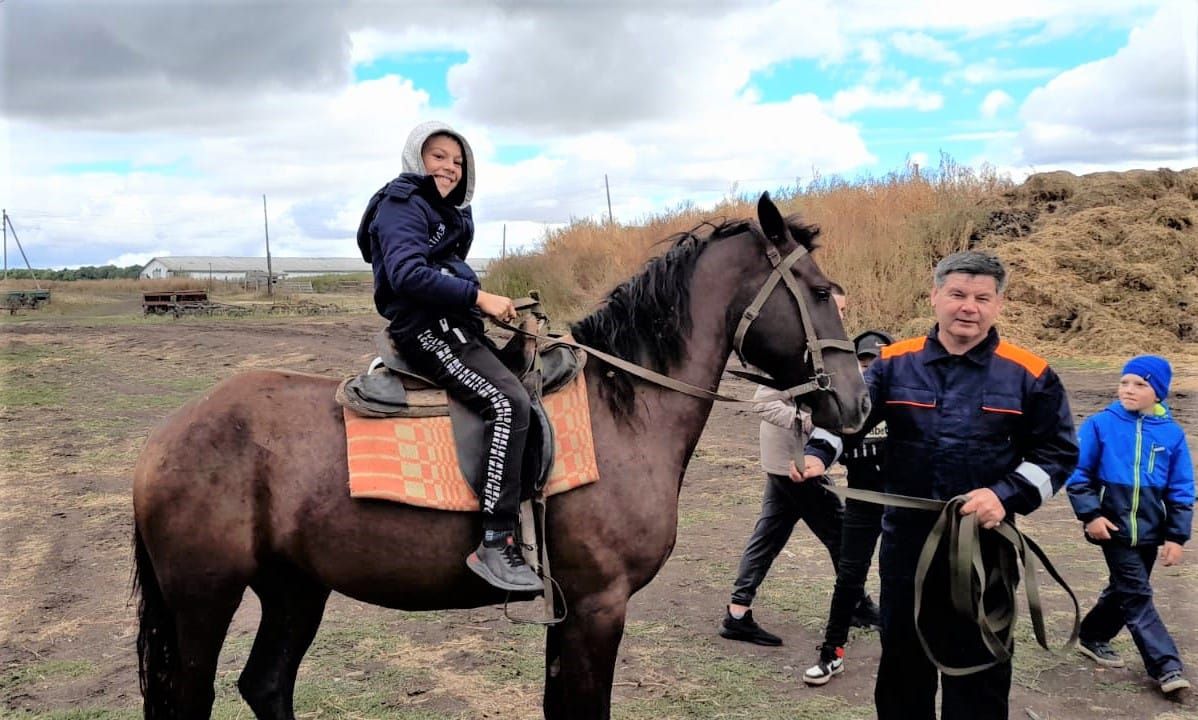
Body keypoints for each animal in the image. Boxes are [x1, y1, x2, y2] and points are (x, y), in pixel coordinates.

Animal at [133, 192, 872, 718]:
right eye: (817, 290)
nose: (859, 402)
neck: (621, 412)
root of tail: (168, 437)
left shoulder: (571, 611)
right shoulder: (599, 607)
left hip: (293, 588)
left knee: (266, 685)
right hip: (205, 602)